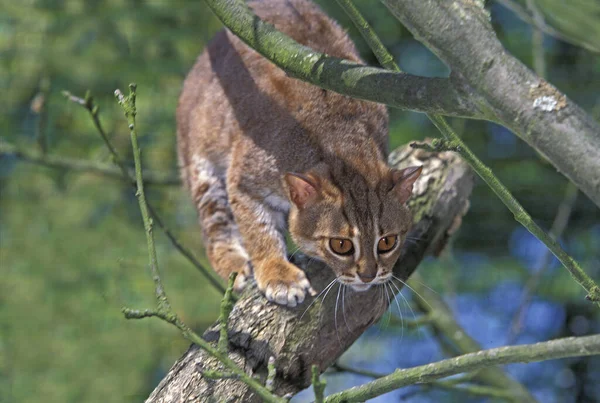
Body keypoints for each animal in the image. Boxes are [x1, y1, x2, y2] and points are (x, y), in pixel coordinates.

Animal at [178, 0, 422, 306]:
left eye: (387, 242)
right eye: (341, 245)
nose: (368, 276)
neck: (345, 149)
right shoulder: (244, 180)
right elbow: (259, 231)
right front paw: (277, 273)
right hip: (201, 163)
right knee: (214, 226)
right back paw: (234, 264)